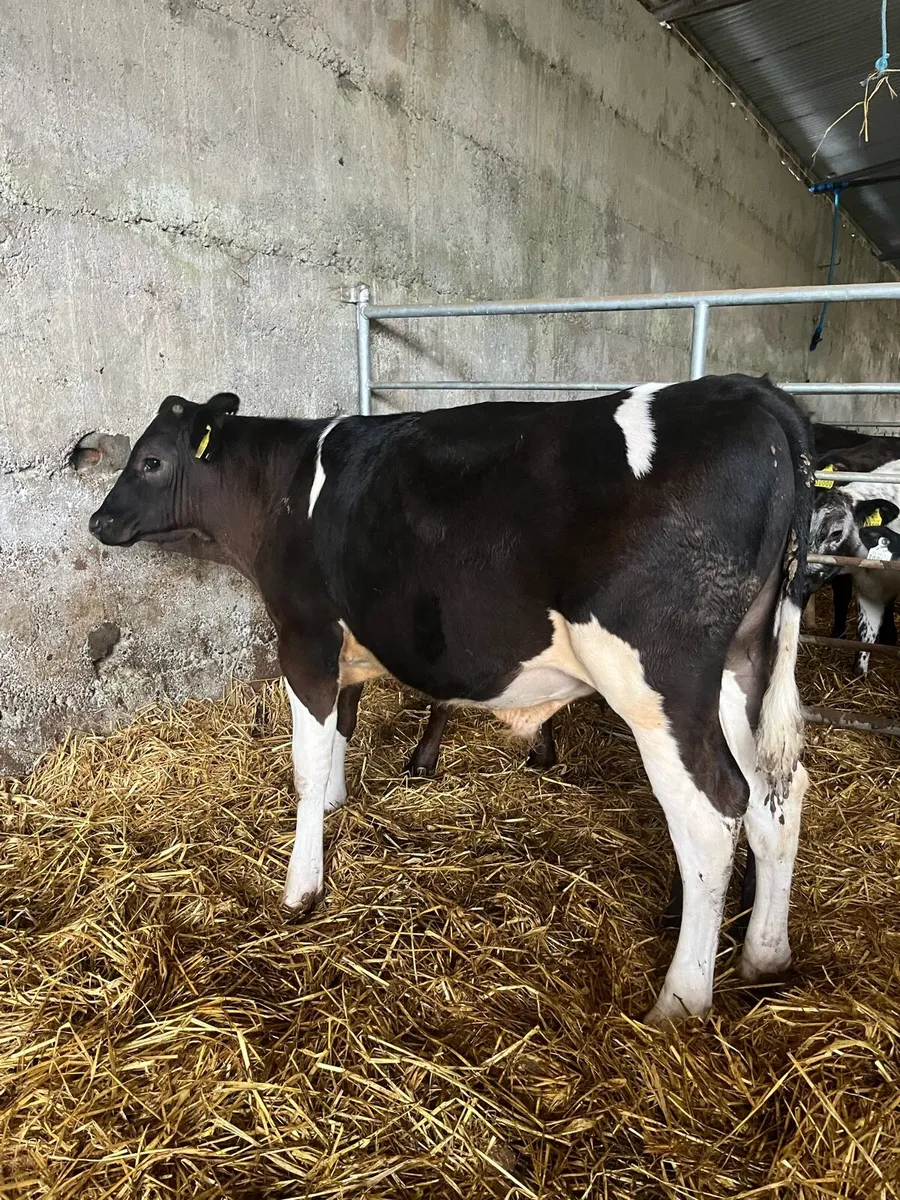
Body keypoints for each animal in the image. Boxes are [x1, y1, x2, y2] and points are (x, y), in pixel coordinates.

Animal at [89, 376, 812, 1026]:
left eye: (150, 460)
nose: (99, 520)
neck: (285, 490)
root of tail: (750, 394)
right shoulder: (349, 644)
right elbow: (342, 730)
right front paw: (337, 804)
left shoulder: (305, 638)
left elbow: (305, 763)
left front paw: (301, 887)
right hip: (741, 668)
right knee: (776, 792)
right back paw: (765, 958)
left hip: (657, 678)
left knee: (713, 813)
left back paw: (678, 1002)